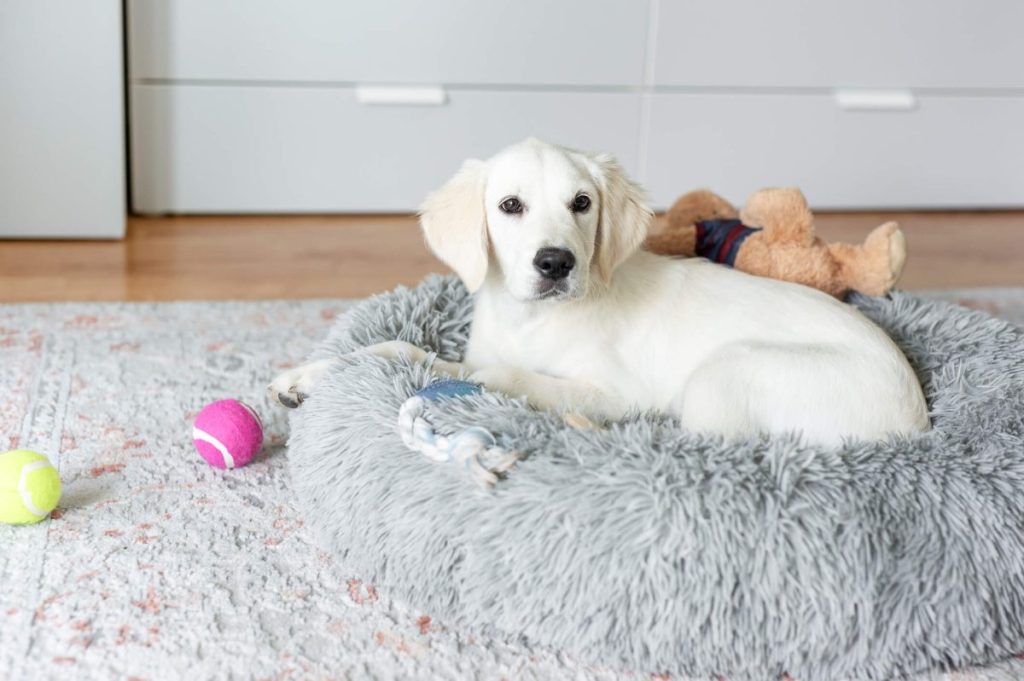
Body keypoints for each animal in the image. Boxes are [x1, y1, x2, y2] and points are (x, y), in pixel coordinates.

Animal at [272, 139, 929, 446]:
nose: (556, 263)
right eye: (509, 205)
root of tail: (915, 423)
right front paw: (303, 376)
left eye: (582, 203)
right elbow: (400, 350)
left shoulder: (619, 390)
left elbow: (507, 377)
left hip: (728, 370)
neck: (531, 319)